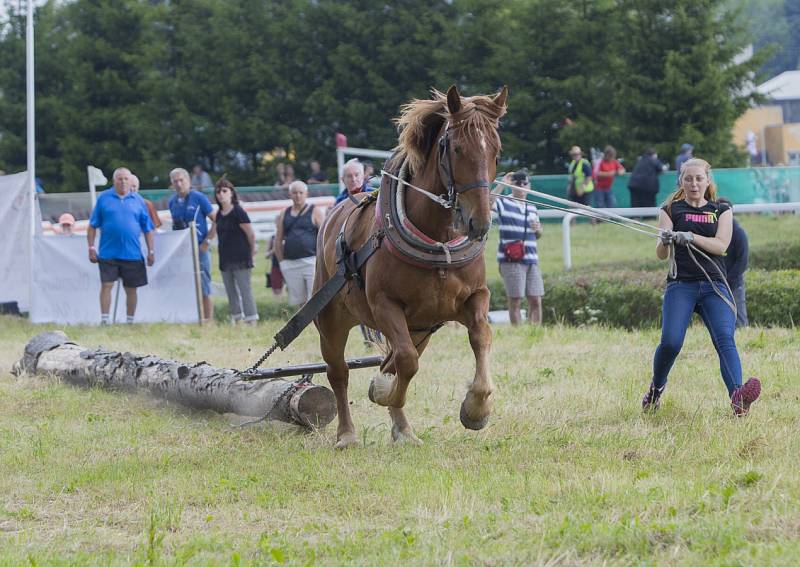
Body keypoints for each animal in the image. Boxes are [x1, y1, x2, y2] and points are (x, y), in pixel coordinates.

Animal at [312, 85, 506, 448]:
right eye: (456, 148)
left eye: (496, 151)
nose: (480, 223)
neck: (438, 240)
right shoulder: (384, 305)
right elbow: (405, 362)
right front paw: (382, 392)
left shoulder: (474, 298)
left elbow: (481, 338)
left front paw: (476, 409)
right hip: (332, 317)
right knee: (340, 372)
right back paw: (347, 434)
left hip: (420, 327)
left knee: (394, 360)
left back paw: (403, 428)